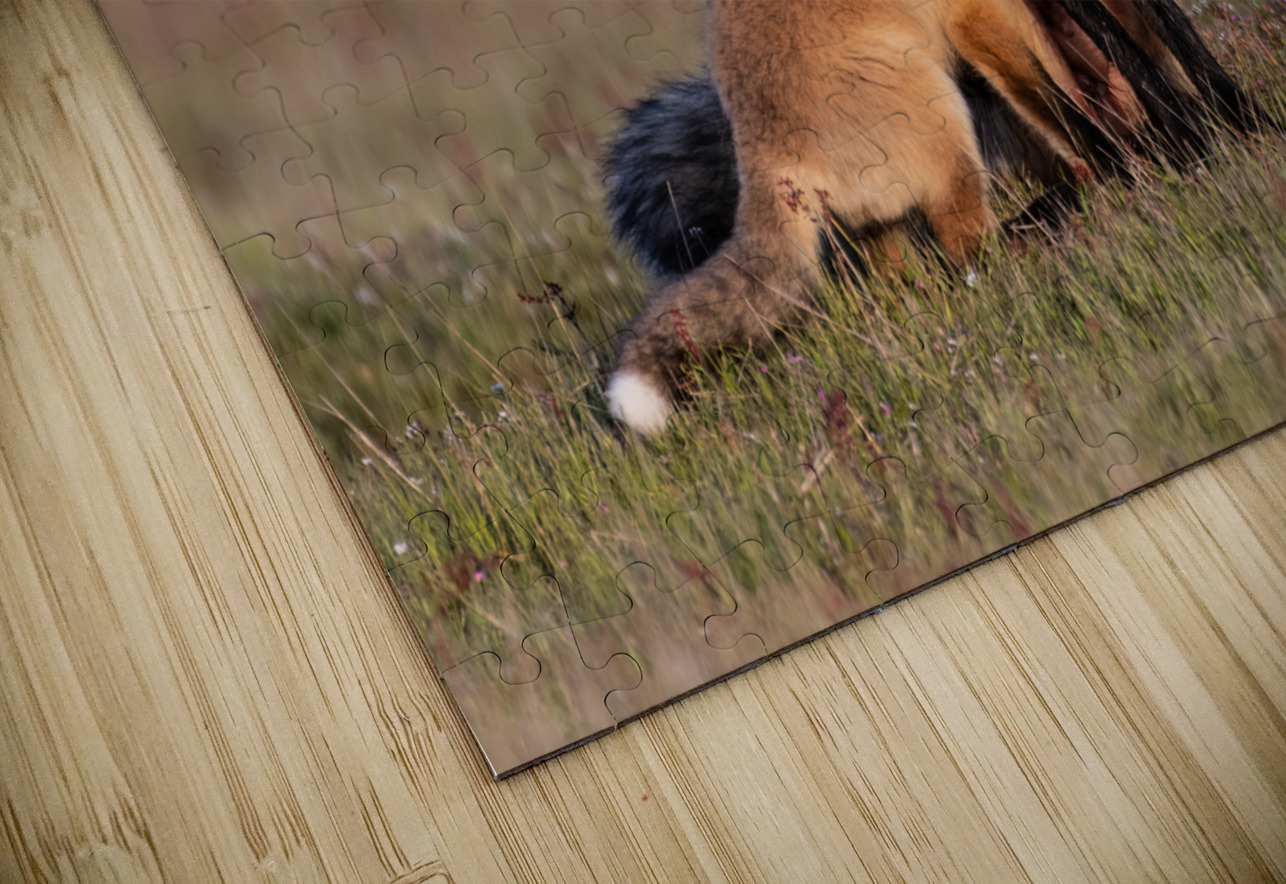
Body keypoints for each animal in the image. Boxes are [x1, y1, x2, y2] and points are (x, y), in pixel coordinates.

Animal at [603, 0, 1275, 435]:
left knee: (921, 288)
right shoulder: (983, 19)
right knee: (975, 255)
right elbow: (1071, 113)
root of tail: (769, 162)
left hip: (891, 223)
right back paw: (1056, 243)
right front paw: (1153, 160)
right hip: (945, 124)